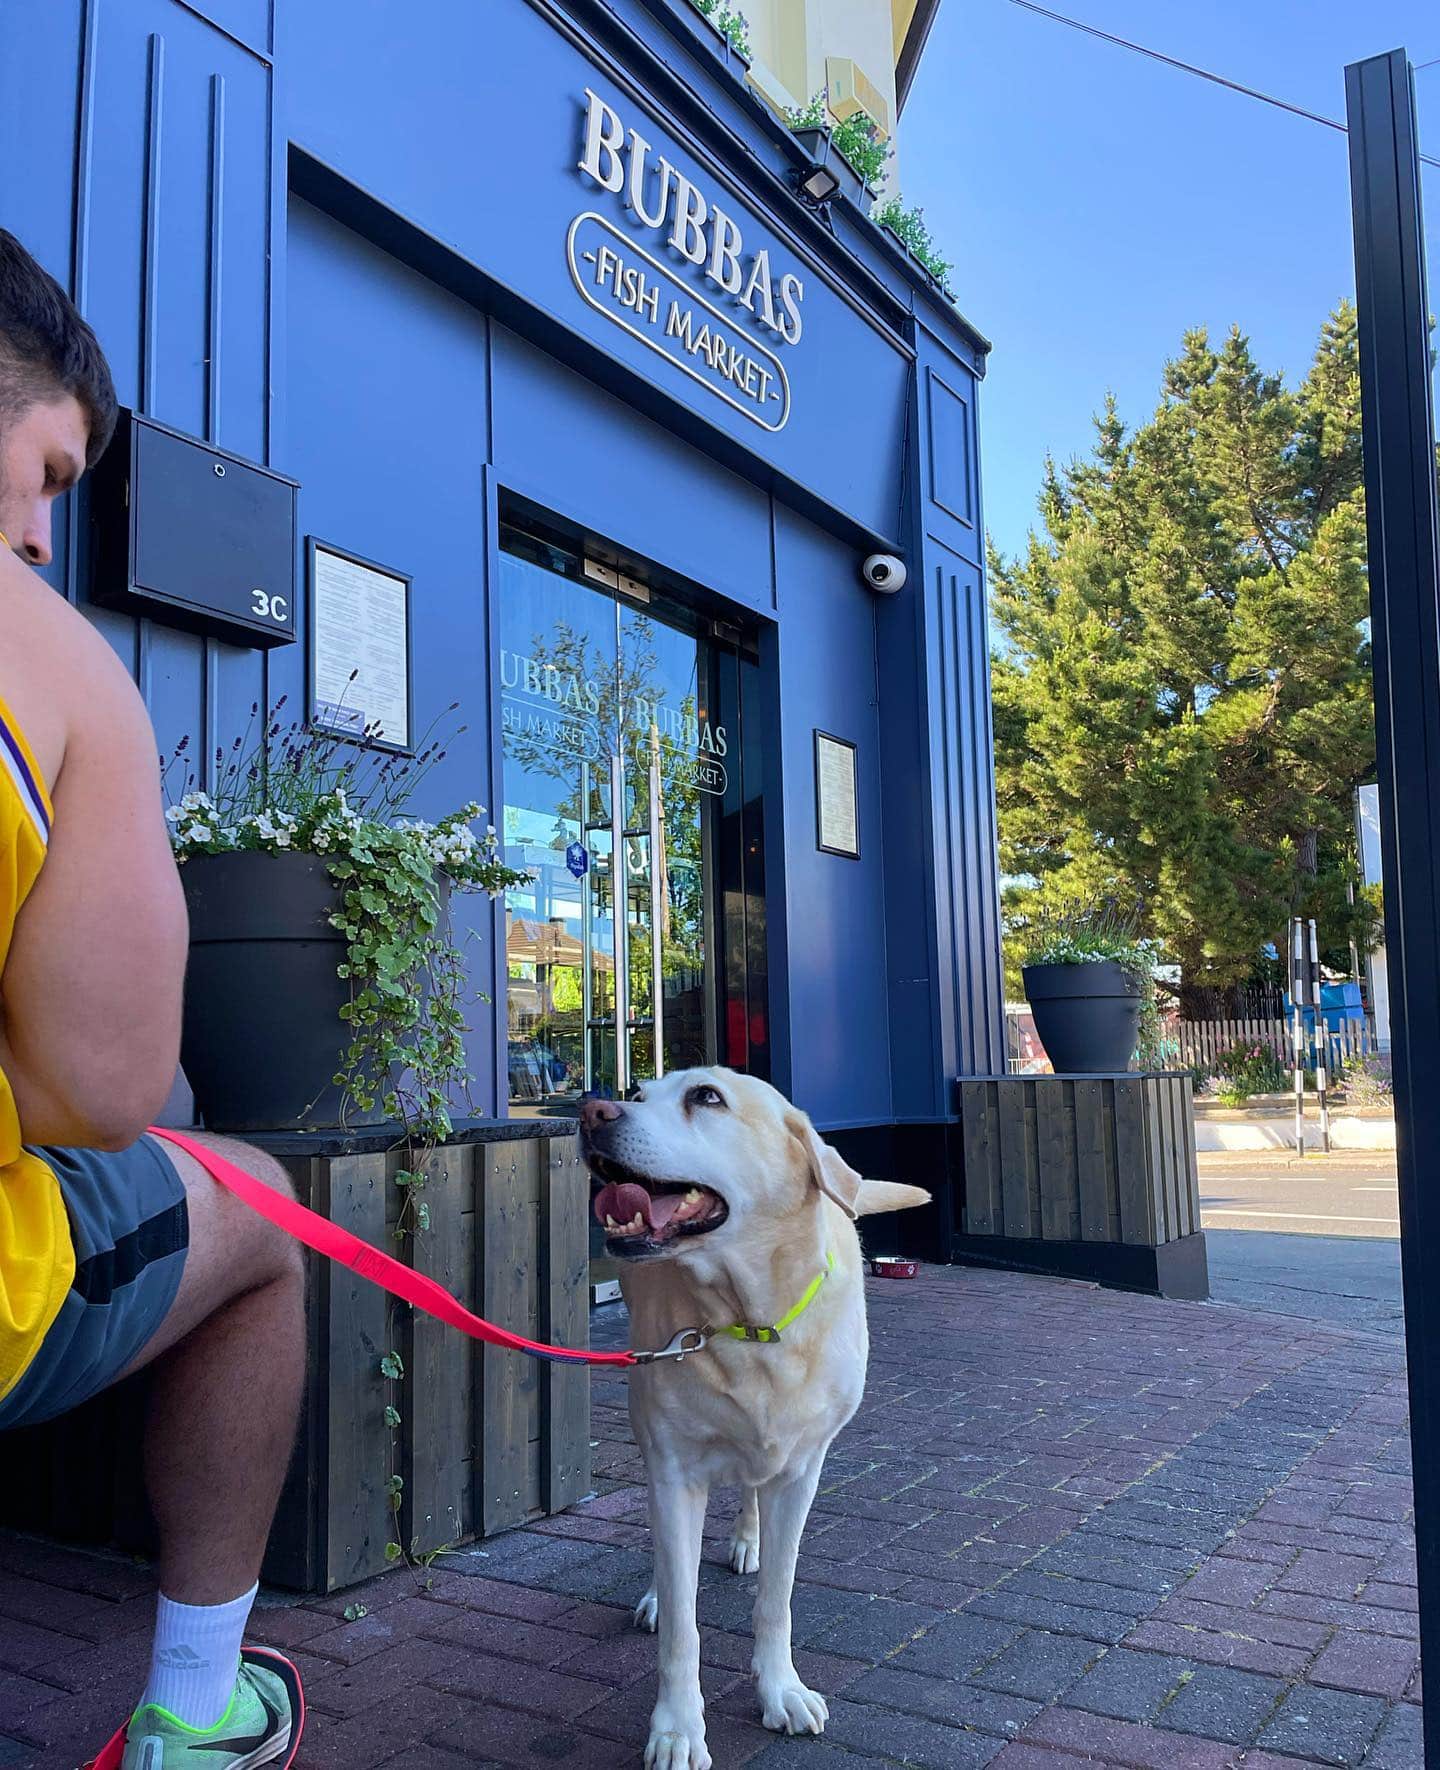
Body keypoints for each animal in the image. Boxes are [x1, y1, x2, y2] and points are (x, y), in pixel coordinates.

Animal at [579, 1068, 929, 1770]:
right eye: (639, 1092)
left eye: (706, 1097)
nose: (592, 1110)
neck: (747, 1319)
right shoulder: (674, 1468)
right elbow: (682, 1621)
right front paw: (678, 1728)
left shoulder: (801, 1472)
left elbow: (777, 1597)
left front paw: (780, 1689)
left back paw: (747, 1539)